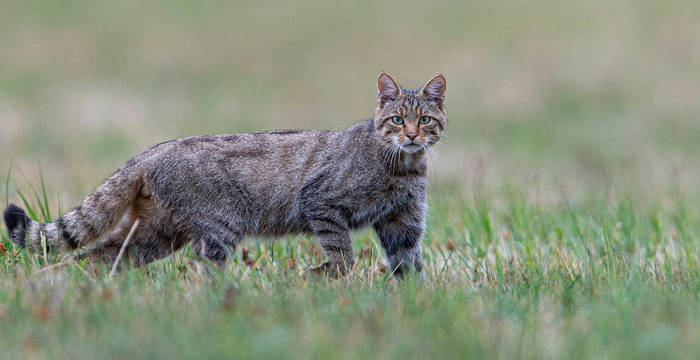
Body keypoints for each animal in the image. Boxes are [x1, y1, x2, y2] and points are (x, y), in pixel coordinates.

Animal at [2, 72, 446, 276]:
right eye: (395, 119)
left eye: (425, 119)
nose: (411, 135)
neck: (403, 166)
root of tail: (148, 152)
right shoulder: (321, 203)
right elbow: (343, 256)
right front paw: (329, 279)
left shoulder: (403, 225)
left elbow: (410, 267)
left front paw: (413, 301)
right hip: (218, 231)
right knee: (200, 272)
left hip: (155, 234)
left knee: (96, 256)